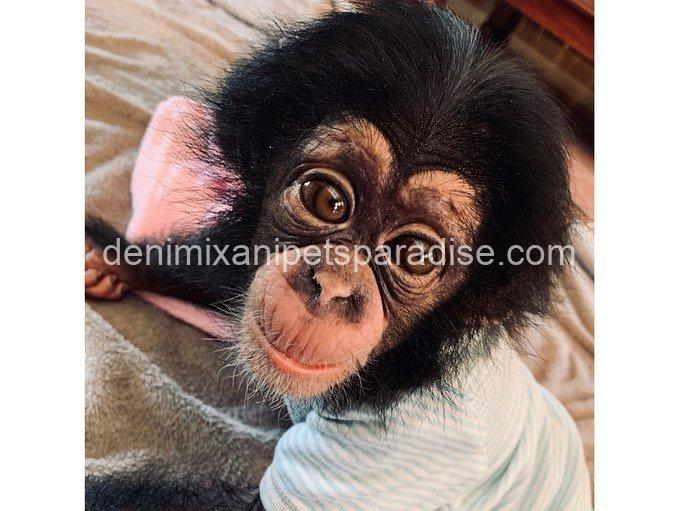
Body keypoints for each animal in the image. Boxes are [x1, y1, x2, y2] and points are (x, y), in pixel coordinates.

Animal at [85, 1, 591, 509]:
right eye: (326, 200)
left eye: (414, 255)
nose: (331, 286)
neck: (404, 363)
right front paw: (112, 259)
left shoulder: (381, 457)